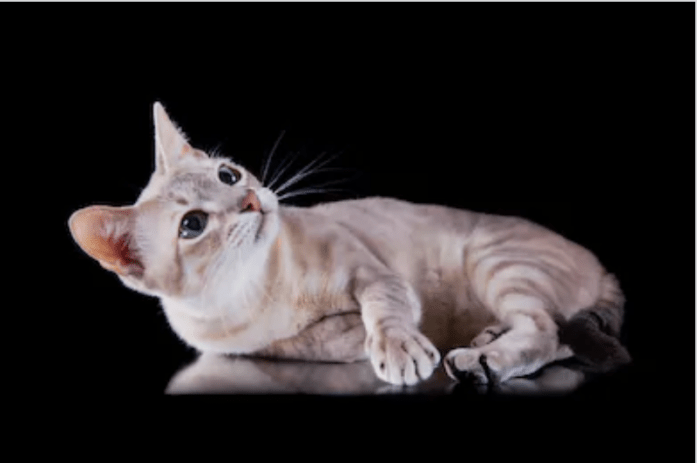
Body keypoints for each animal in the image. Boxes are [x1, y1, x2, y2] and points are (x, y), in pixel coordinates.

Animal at [68, 104, 628, 388]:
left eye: (228, 174)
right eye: (192, 224)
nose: (250, 199)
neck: (263, 288)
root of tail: (603, 266)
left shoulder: (373, 274)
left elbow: (383, 310)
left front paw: (399, 347)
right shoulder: (248, 344)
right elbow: (322, 340)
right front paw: (362, 340)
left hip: (499, 262)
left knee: (547, 332)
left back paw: (478, 360)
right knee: (552, 332)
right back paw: (483, 344)